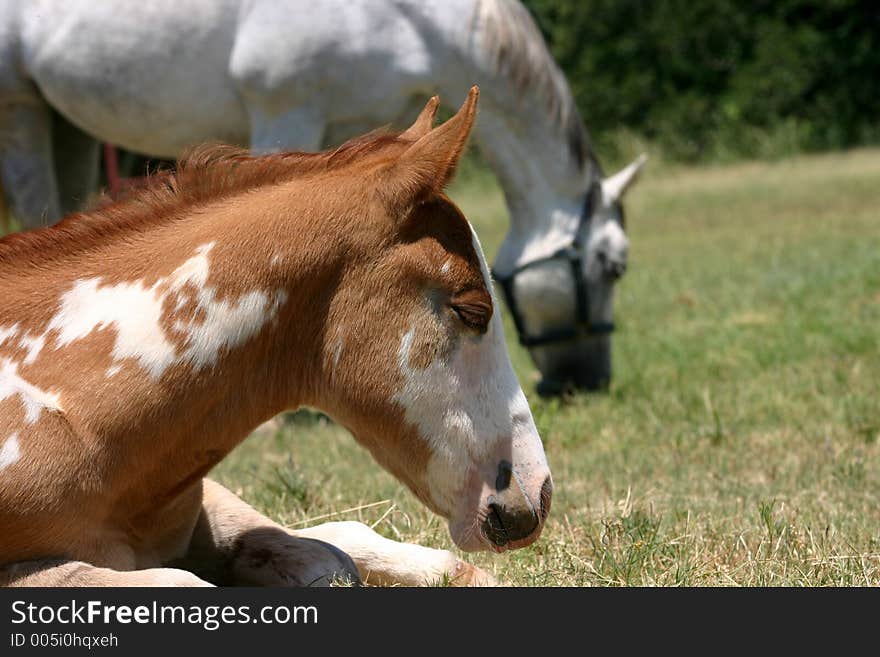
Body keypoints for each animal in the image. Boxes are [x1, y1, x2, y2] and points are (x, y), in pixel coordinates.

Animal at [0, 0, 648, 392]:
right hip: (22, 110)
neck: (408, 19)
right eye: (614, 266)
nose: (585, 381)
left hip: (68, 126)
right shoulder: (288, 111)